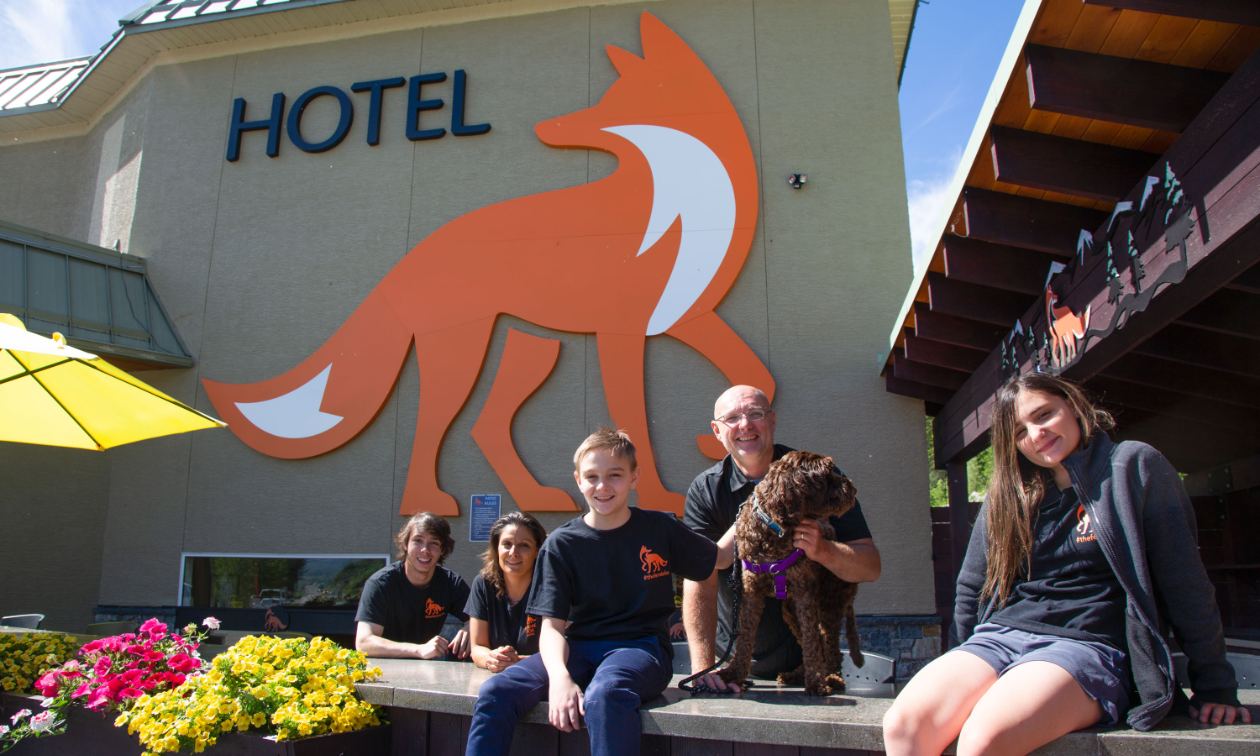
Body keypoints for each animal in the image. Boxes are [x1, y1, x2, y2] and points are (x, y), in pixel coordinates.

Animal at [720, 451, 866, 695]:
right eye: (826, 474)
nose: (853, 489)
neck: (776, 528)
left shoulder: (804, 592)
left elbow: (810, 641)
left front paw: (816, 683)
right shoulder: (752, 590)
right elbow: (745, 635)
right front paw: (734, 673)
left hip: (831, 601)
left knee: (829, 644)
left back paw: (832, 678)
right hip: (791, 609)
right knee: (820, 641)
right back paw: (797, 675)